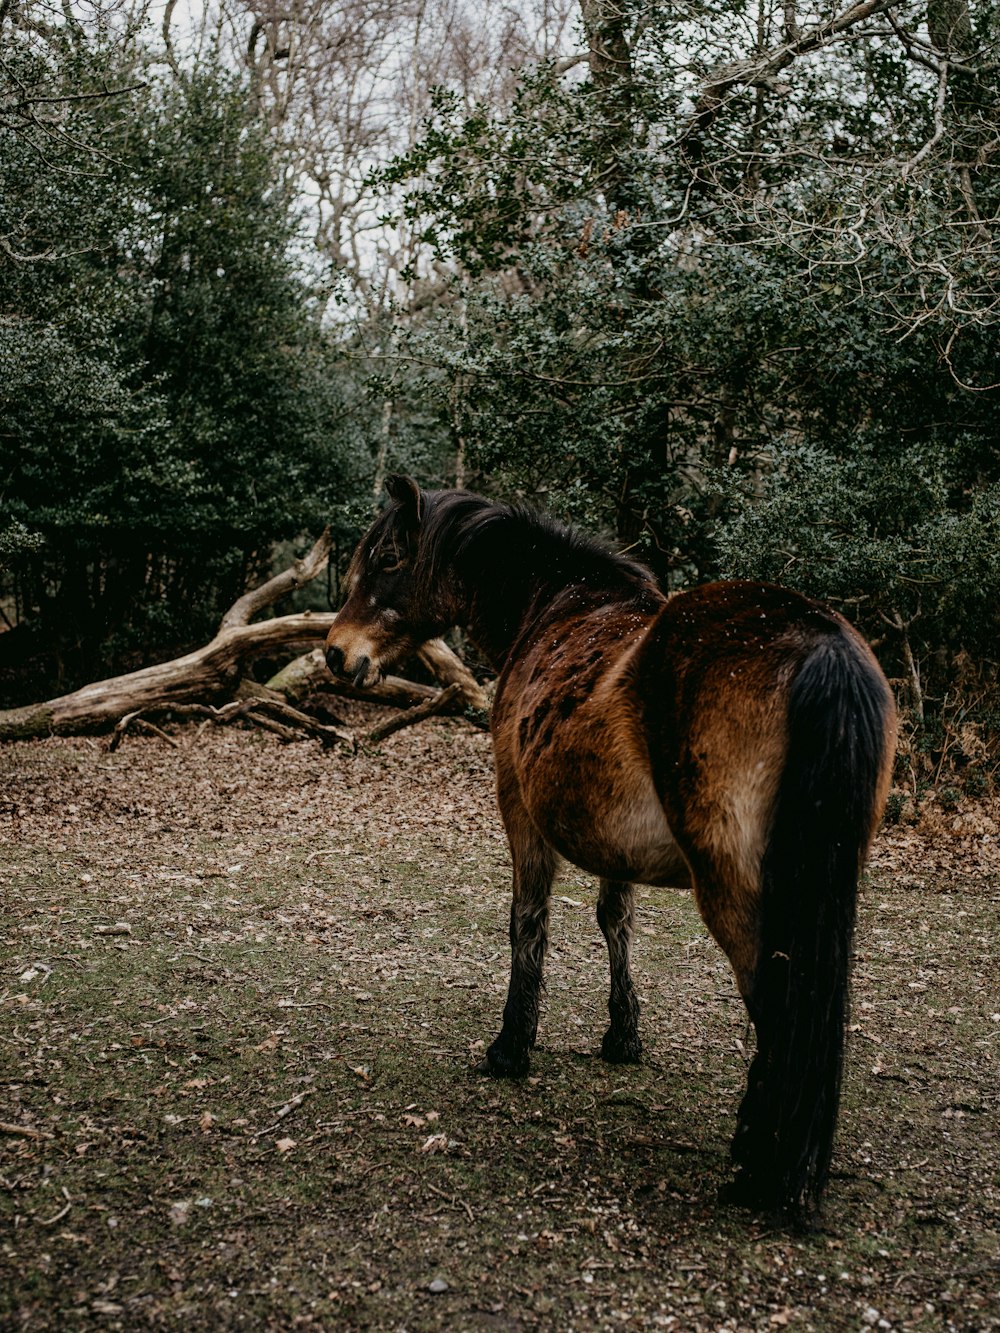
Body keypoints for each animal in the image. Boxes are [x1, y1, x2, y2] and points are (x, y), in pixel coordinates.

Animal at [325, 479, 896, 1221]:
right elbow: (615, 922)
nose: (336, 652)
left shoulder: (520, 810)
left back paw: (758, 1168)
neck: (554, 603)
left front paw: (512, 1046)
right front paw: (623, 1036)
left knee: (778, 1007)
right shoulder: (614, 842)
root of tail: (818, 640)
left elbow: (528, 923)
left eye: (389, 557)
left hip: (739, 895)